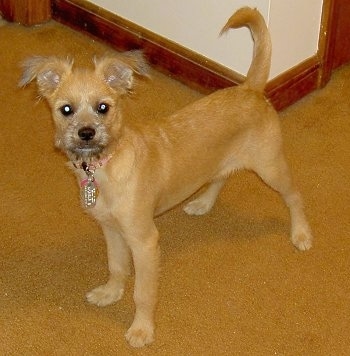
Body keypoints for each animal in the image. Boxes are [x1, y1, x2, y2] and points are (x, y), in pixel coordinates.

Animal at [19, 6, 312, 348]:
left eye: (103, 107)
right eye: (66, 109)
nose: (86, 134)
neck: (105, 168)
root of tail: (250, 89)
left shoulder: (145, 241)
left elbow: (143, 293)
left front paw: (142, 329)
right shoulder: (111, 230)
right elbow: (116, 266)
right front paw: (110, 293)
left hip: (270, 166)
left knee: (294, 195)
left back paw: (301, 233)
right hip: (223, 161)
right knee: (220, 177)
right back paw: (203, 204)